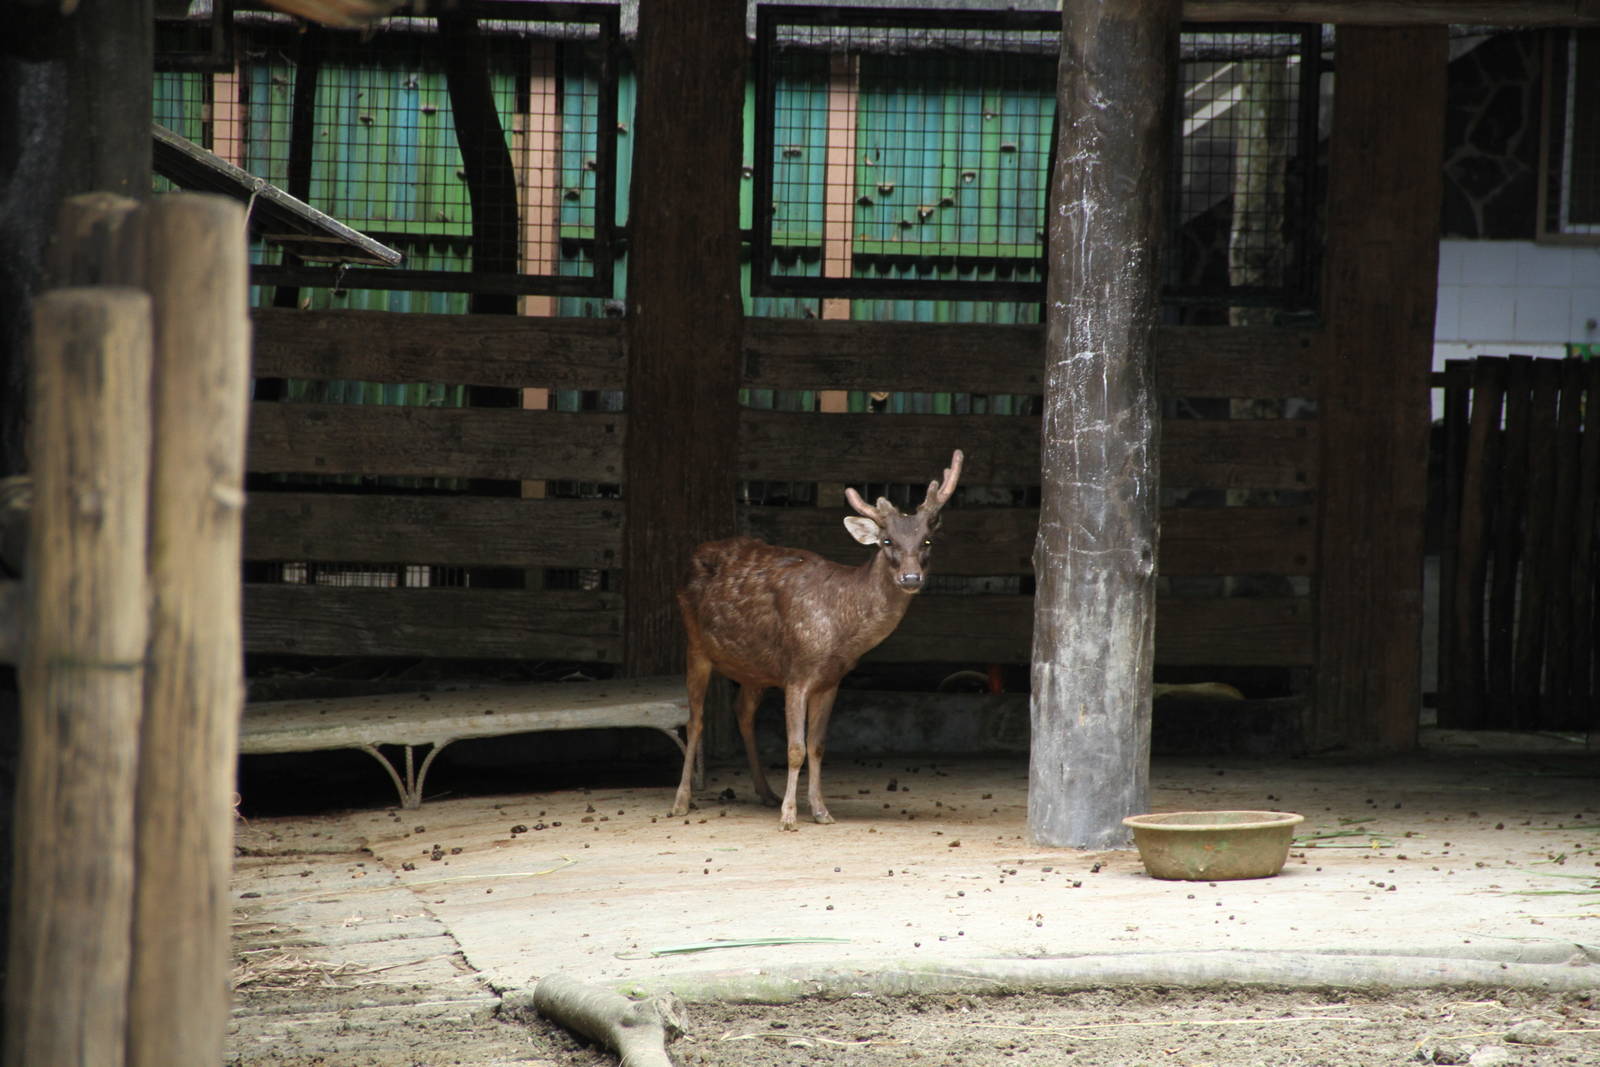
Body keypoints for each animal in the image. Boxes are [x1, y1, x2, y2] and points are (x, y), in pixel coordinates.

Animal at [669, 450, 964, 830]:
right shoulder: (798, 672)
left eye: (926, 541)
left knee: (743, 711)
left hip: (755, 669)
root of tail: (694, 555)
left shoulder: (830, 680)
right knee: (696, 720)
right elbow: (795, 748)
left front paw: (821, 810)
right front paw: (789, 816)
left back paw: (766, 792)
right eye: (887, 542)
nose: (911, 578)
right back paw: (681, 801)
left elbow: (817, 745)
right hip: (695, 645)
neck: (841, 630)